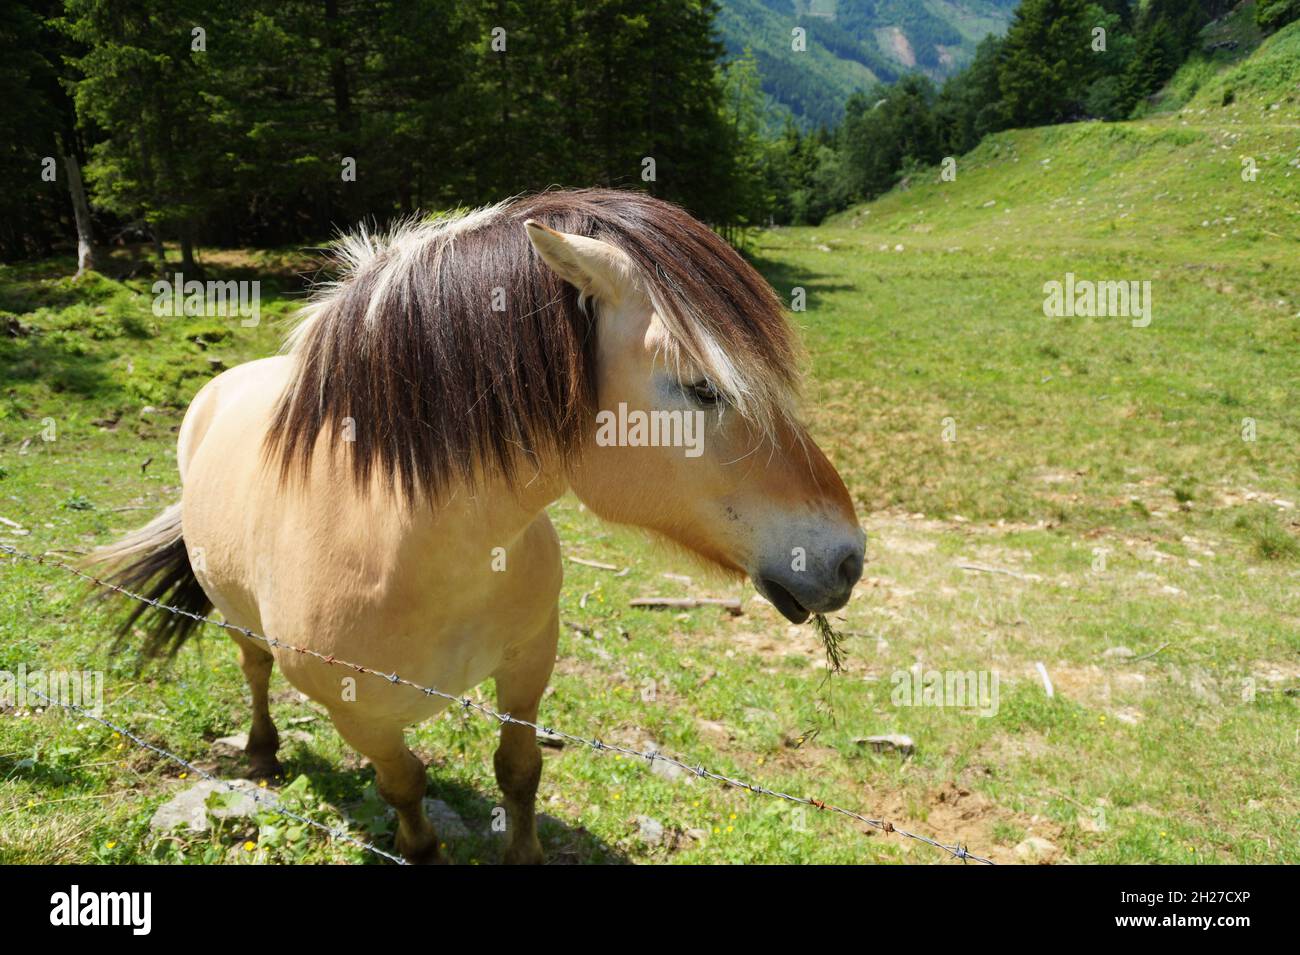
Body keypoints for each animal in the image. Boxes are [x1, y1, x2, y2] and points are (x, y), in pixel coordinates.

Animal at [90, 188, 865, 864]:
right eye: (704, 387)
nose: (848, 558)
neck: (407, 546)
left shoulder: (529, 661)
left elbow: (517, 770)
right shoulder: (362, 719)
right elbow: (405, 789)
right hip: (237, 616)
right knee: (253, 669)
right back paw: (259, 750)